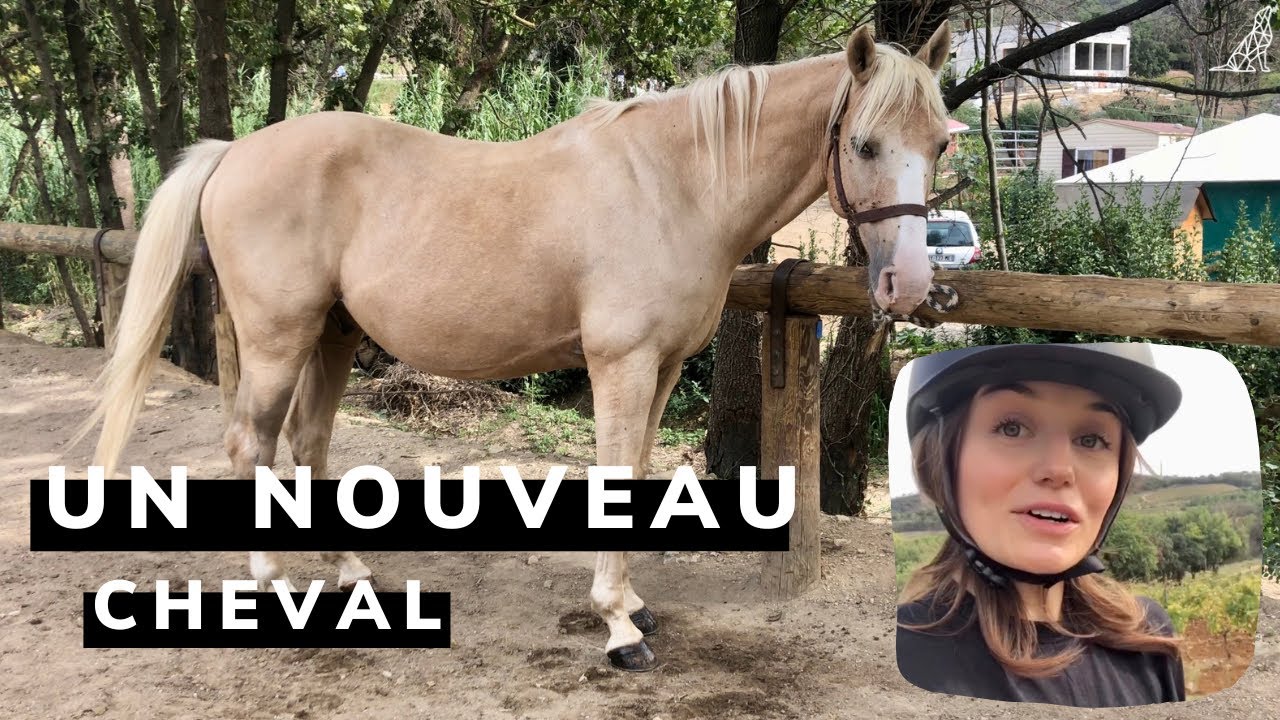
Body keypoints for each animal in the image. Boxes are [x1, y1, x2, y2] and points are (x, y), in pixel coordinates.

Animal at [79, 24, 952, 671]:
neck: (674, 184)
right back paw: (269, 586)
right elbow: (614, 477)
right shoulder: (621, 364)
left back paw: (352, 574)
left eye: (942, 143)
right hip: (275, 339)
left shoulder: (665, 366)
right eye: (864, 145)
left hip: (330, 336)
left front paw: (634, 607)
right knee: (252, 442)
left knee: (308, 442)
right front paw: (618, 628)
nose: (909, 284)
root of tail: (233, 151)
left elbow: (637, 473)